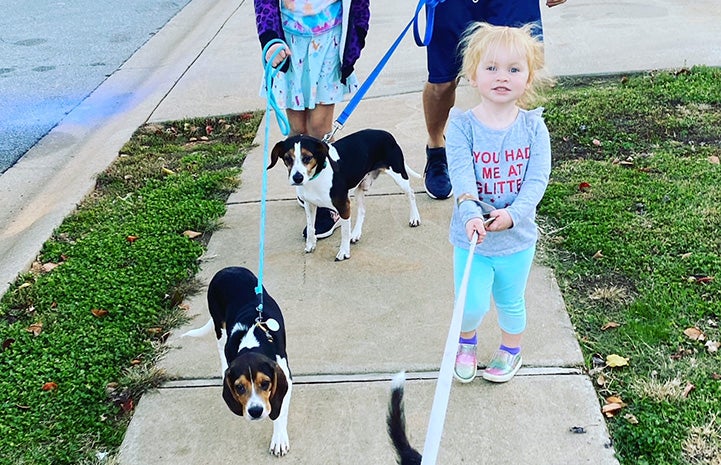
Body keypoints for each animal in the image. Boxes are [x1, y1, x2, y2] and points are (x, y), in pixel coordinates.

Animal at [181, 266, 292, 454]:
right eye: (239, 387)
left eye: (266, 383)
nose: (255, 411)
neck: (252, 343)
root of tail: (227, 269)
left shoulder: (286, 379)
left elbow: (280, 411)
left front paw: (279, 439)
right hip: (219, 324)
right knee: (219, 347)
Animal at [268, 129, 420, 260]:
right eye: (287, 158)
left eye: (307, 157)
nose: (297, 178)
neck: (316, 177)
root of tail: (387, 134)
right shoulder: (309, 205)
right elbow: (311, 227)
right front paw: (310, 245)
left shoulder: (343, 206)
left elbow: (344, 232)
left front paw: (344, 252)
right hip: (360, 187)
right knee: (362, 210)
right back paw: (356, 234)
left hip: (399, 176)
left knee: (411, 193)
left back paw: (414, 218)